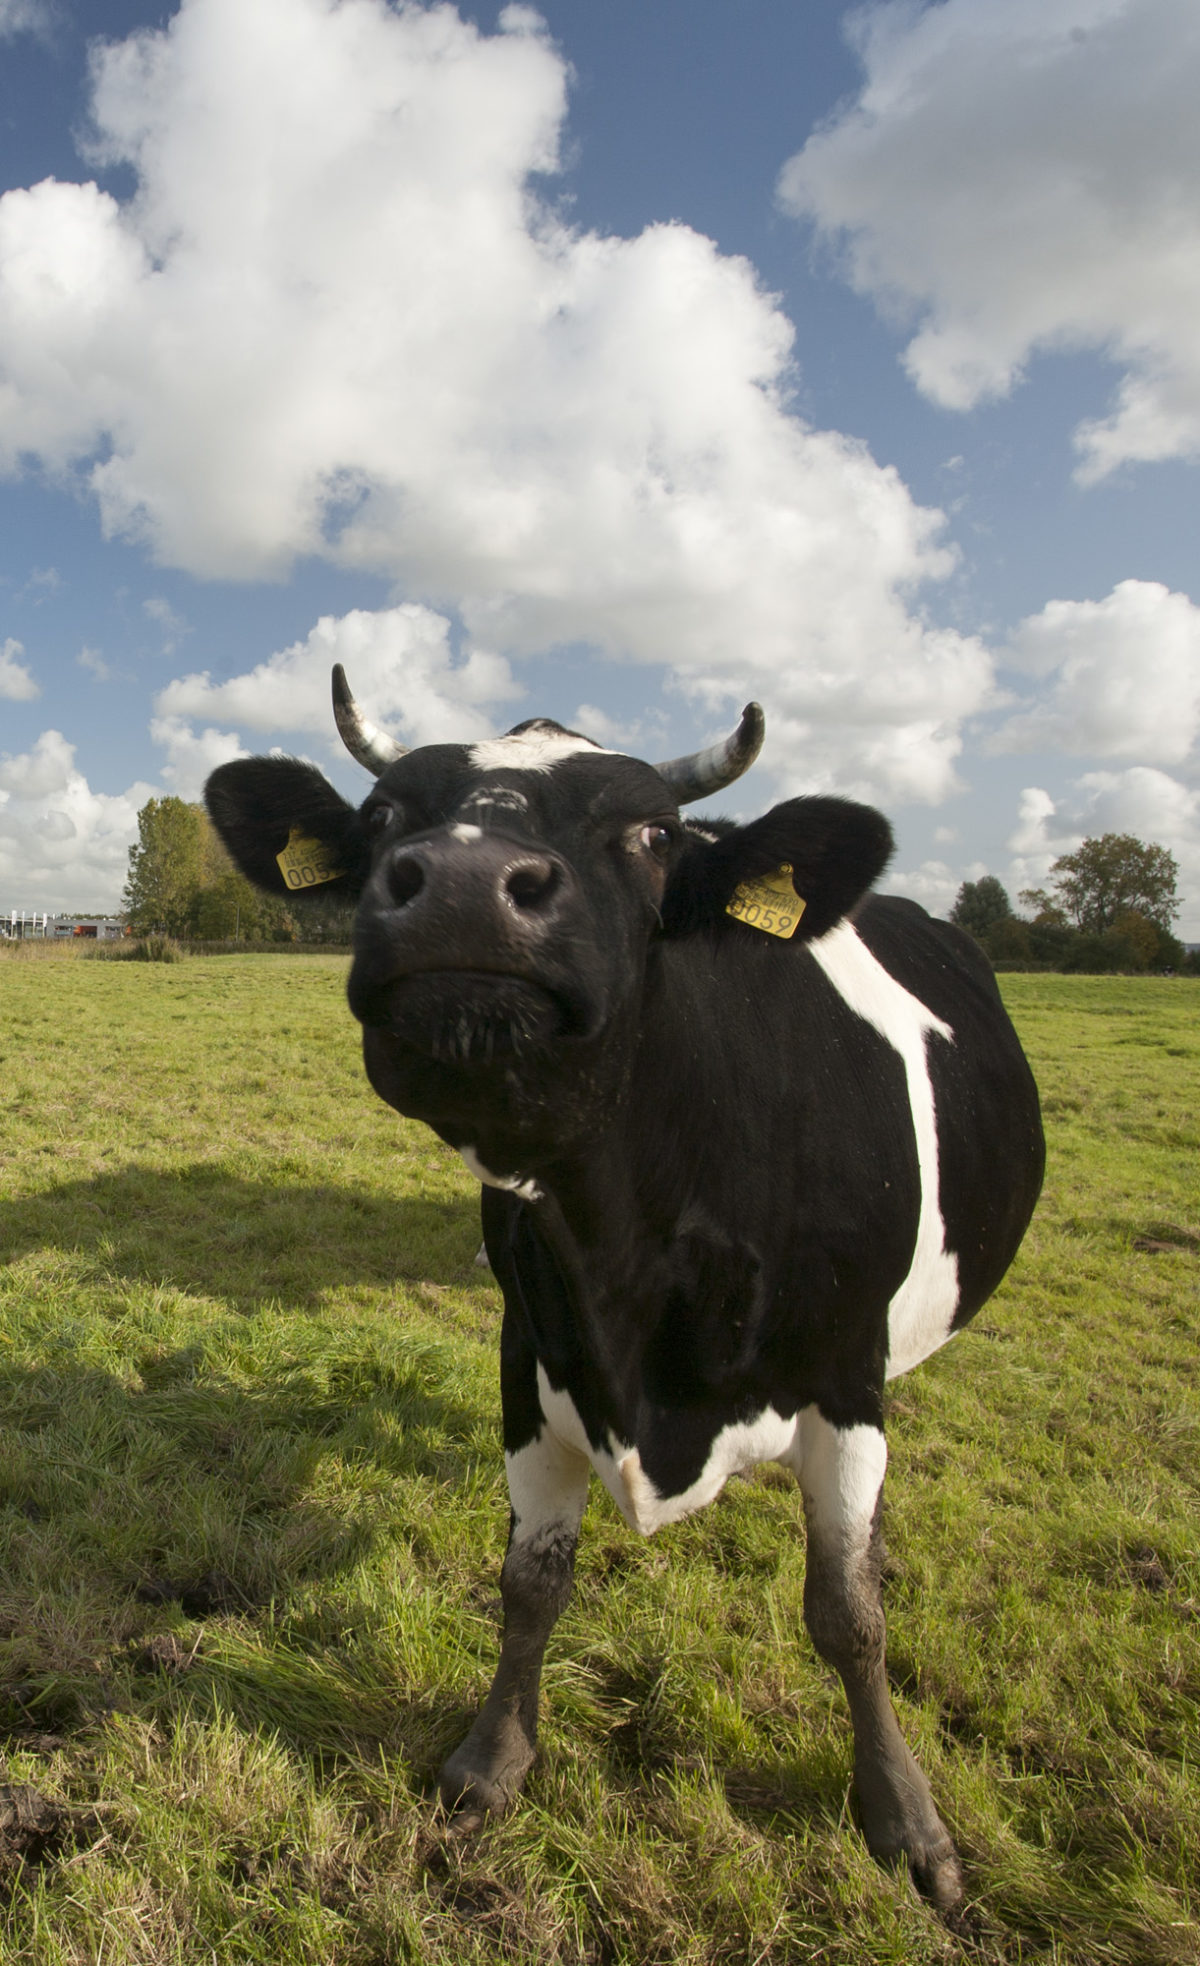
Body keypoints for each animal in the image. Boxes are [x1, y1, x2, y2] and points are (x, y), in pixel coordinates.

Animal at [205, 672, 1038, 1903]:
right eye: (384, 817)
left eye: (651, 835)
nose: (464, 888)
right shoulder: (531, 1351)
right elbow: (529, 1580)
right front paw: (492, 1761)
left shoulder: (846, 1376)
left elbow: (849, 1614)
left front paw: (905, 1818)